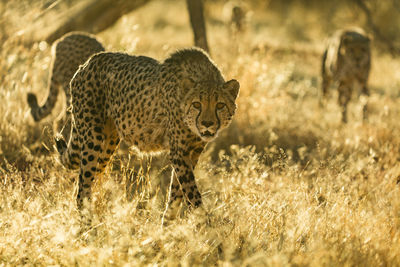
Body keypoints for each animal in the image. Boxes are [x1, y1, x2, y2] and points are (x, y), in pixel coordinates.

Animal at [54, 48, 239, 214]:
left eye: (220, 105)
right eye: (196, 104)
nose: (207, 123)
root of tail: (88, 62)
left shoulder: (192, 152)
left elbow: (177, 191)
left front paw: (168, 223)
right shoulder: (179, 152)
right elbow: (191, 191)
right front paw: (206, 223)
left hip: (108, 143)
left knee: (84, 182)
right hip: (93, 138)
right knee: (82, 189)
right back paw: (89, 226)